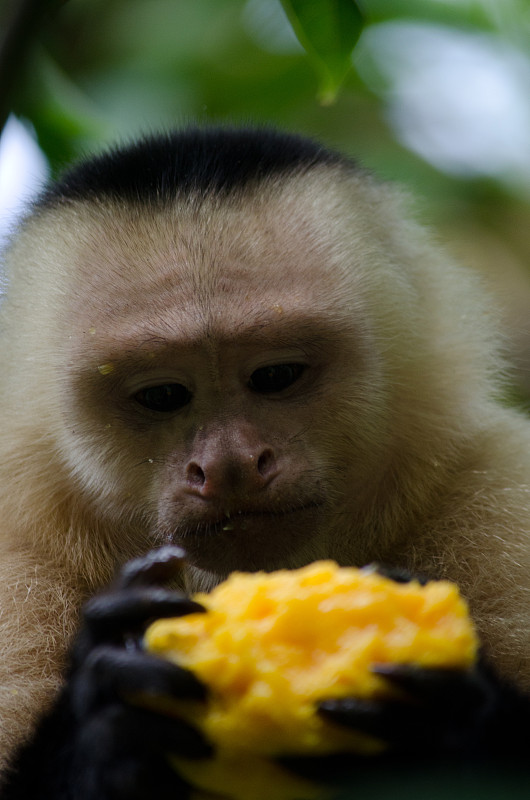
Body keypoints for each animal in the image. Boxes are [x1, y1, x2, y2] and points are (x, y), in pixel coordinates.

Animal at [2, 128, 528, 796]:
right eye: (163, 395)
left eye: (275, 377)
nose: (231, 463)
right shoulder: (17, 563)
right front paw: (106, 721)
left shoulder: (497, 489)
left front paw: (451, 725)